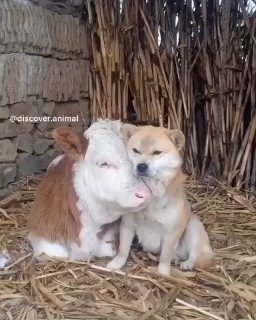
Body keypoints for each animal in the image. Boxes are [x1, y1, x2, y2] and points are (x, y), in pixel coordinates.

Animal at [107, 125, 215, 276]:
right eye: (136, 150)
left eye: (157, 152)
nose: (141, 166)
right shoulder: (128, 224)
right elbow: (123, 249)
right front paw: (117, 263)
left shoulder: (172, 231)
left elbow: (165, 256)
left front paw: (162, 273)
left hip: (192, 227)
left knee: (196, 256)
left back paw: (187, 264)